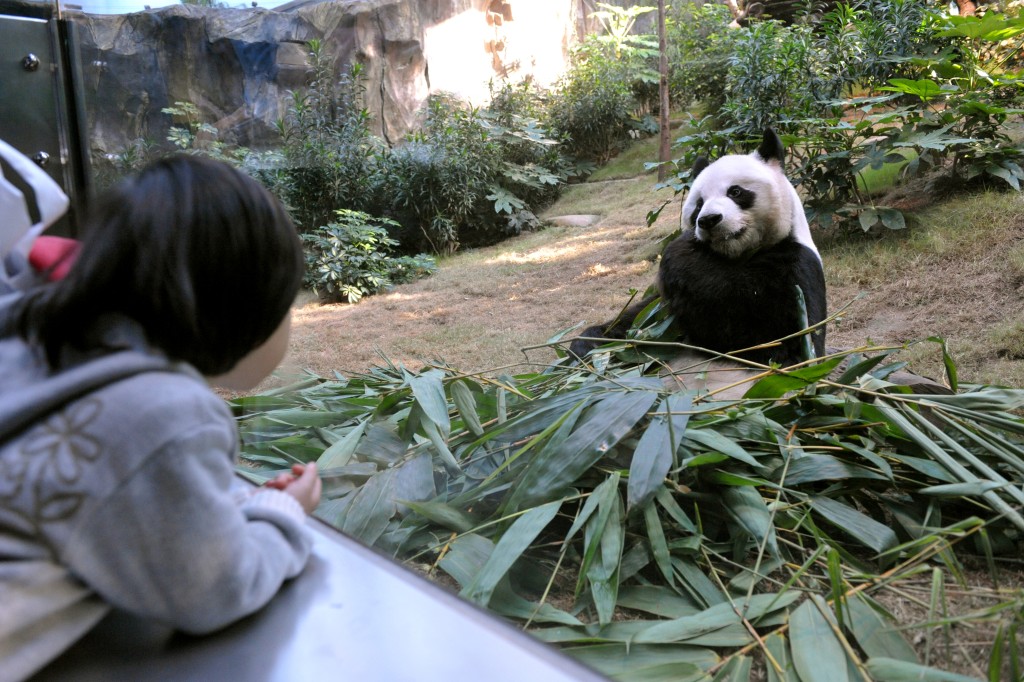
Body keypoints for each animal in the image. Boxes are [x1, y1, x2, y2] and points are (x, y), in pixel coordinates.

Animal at [573, 130, 827, 368]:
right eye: (698, 204)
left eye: (735, 192)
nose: (708, 220)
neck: (737, 255)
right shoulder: (661, 306)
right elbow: (640, 318)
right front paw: (591, 343)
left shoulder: (795, 264)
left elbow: (784, 339)